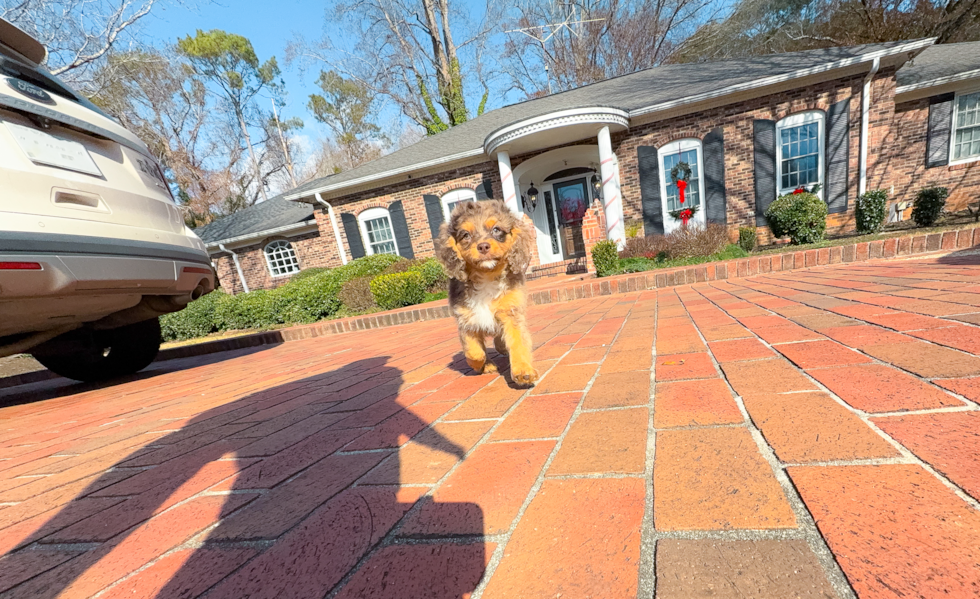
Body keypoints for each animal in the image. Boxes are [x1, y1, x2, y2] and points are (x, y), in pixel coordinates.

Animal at [436, 202, 540, 386]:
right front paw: (482, 365)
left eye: (496, 229)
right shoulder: (466, 318)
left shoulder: (511, 312)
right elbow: (474, 352)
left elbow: (518, 343)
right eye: (465, 235)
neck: (486, 277)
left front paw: (523, 371)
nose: (483, 246)